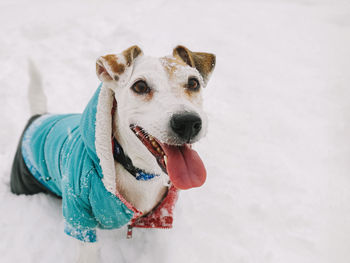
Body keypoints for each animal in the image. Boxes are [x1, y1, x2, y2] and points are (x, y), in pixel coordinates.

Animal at [9, 45, 215, 262]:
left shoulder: (158, 216)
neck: (138, 173)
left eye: (193, 82)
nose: (187, 122)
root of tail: (38, 117)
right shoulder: (79, 218)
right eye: (140, 86)